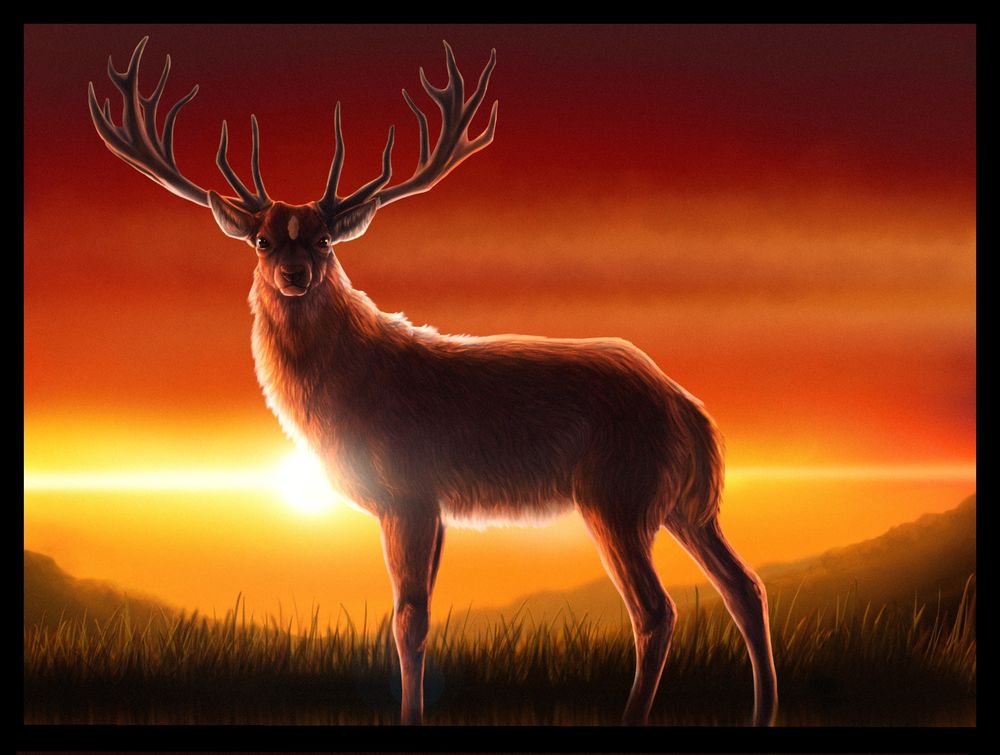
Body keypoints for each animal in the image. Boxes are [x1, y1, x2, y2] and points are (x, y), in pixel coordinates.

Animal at [88, 37, 778, 726]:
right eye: (261, 240)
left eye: (325, 240)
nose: (294, 275)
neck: (349, 393)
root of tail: (690, 409)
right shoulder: (436, 506)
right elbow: (419, 617)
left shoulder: (409, 490)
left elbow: (408, 622)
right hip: (684, 504)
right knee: (744, 584)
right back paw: (762, 710)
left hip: (618, 493)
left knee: (656, 610)